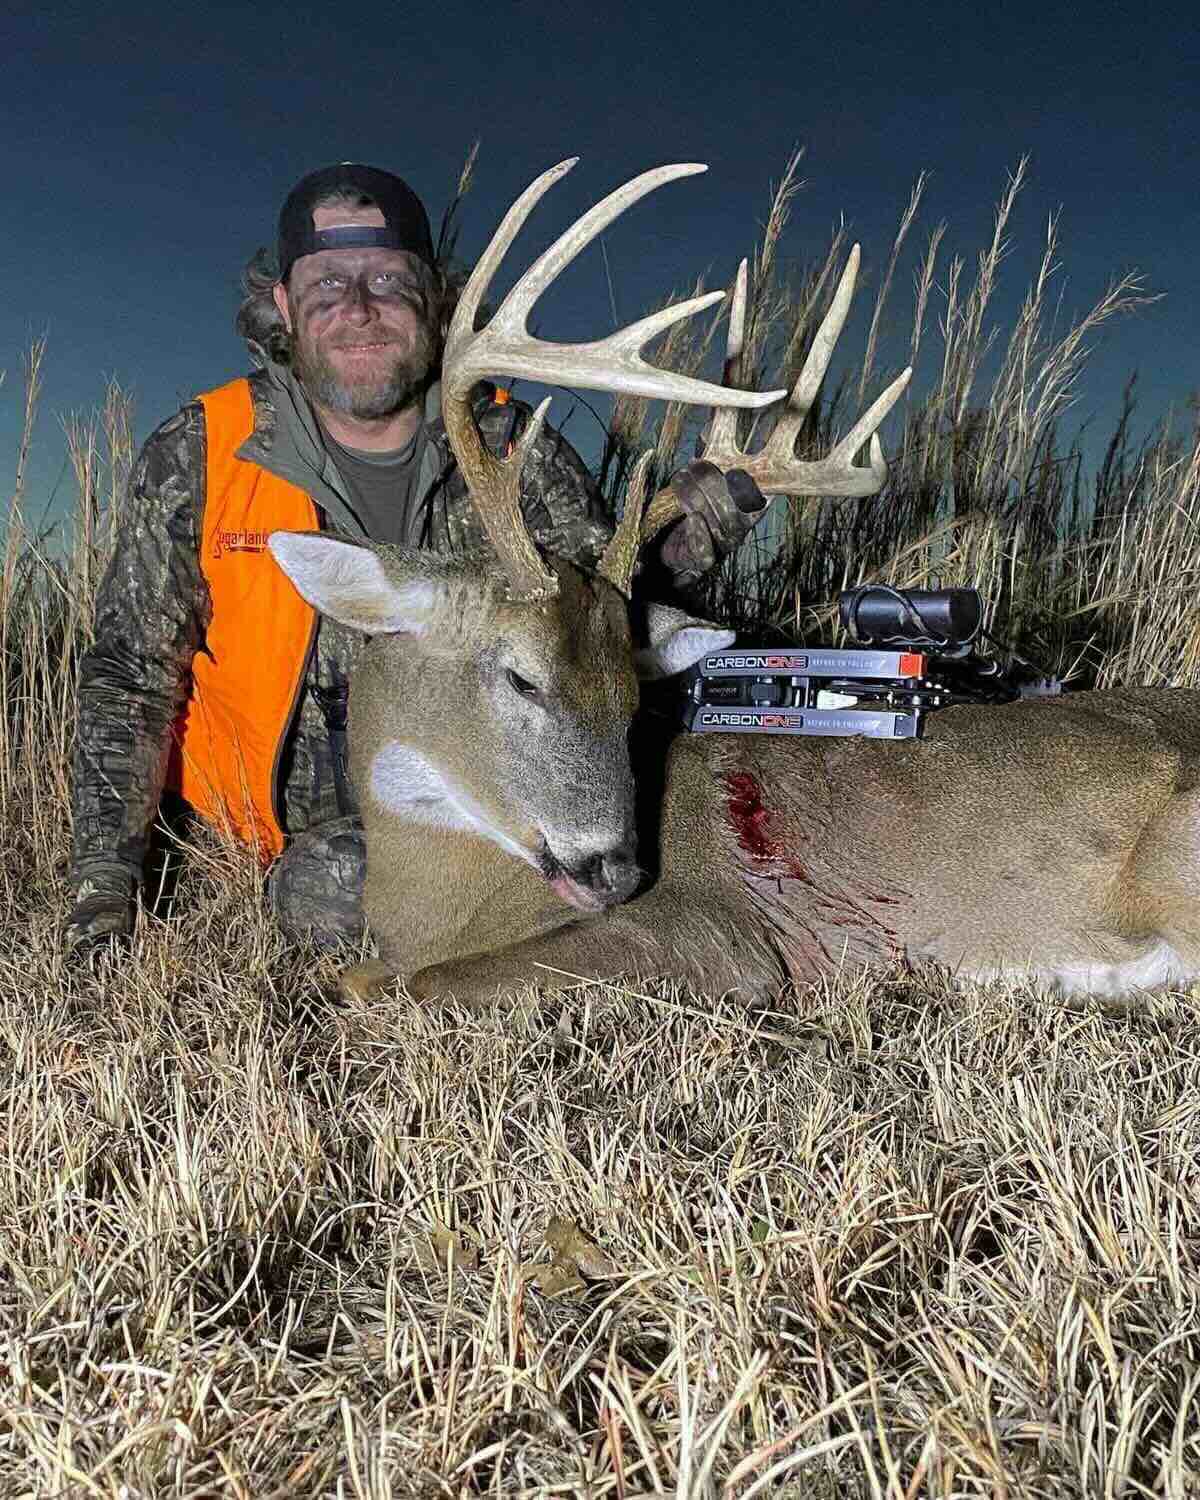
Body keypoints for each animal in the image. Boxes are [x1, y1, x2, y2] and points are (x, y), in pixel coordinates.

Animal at [268, 159, 1200, 1010]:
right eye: (521, 676)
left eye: (631, 699)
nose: (616, 869)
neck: (439, 903)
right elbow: (367, 974)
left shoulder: (718, 932)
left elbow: (401, 985)